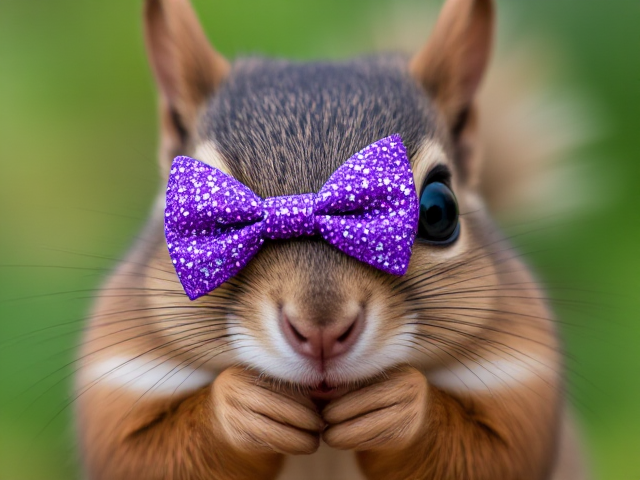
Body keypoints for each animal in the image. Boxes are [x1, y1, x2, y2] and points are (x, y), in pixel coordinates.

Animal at [75, 0, 589, 479]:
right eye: (196, 217)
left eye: (438, 211)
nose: (321, 332)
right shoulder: (117, 376)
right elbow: (135, 450)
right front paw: (242, 408)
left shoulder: (526, 372)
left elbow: (503, 449)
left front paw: (400, 406)